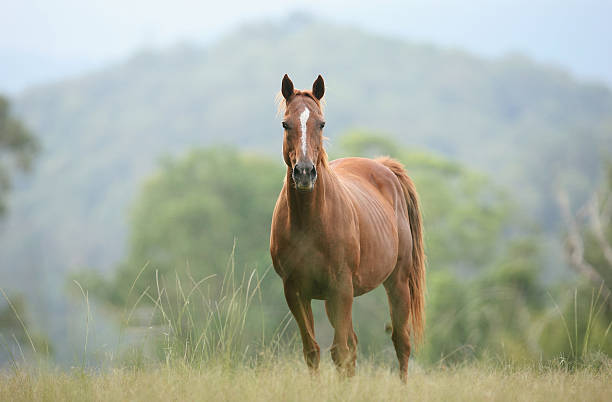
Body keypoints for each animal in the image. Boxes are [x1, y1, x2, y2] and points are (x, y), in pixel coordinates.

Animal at [270, 74, 424, 380]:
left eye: (321, 123)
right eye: (285, 123)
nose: (304, 173)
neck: (309, 222)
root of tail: (384, 167)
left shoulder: (340, 288)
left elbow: (340, 351)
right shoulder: (295, 291)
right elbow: (313, 351)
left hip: (396, 282)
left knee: (401, 342)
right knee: (353, 344)